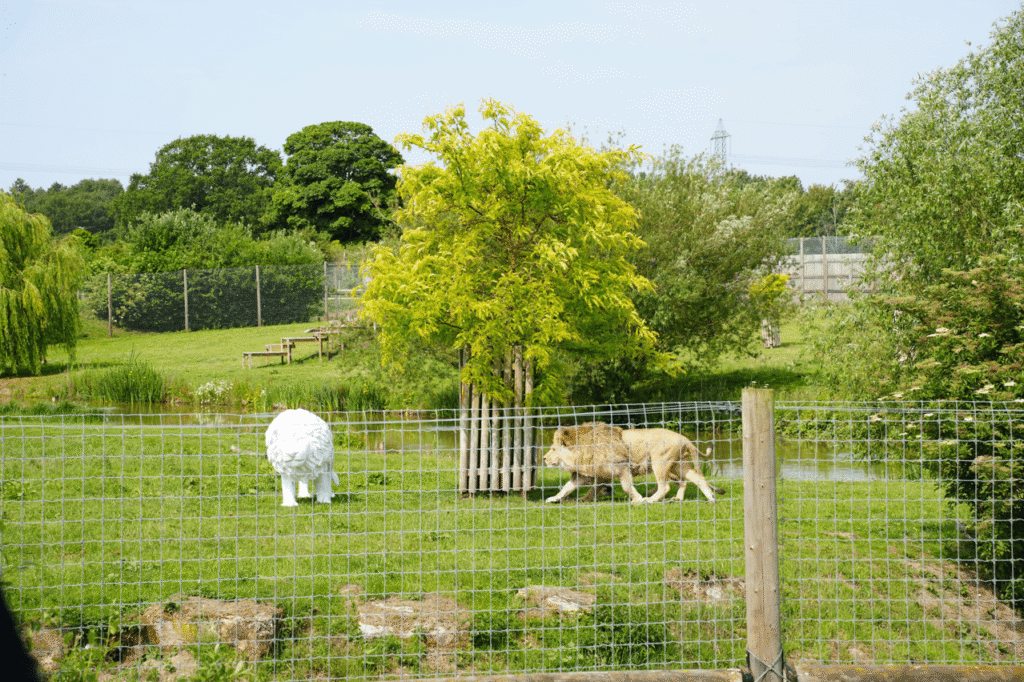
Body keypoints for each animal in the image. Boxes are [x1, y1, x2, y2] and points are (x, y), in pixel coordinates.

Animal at [544, 422, 724, 504]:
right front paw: (554, 498)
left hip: (660, 462)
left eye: (553, 449)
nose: (544, 458)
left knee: (665, 486)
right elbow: (567, 488)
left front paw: (637, 498)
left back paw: (649, 500)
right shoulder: (588, 473)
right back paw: (708, 499)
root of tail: (684, 438)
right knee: (697, 479)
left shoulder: (621, 467)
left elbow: (626, 486)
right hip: (679, 465)